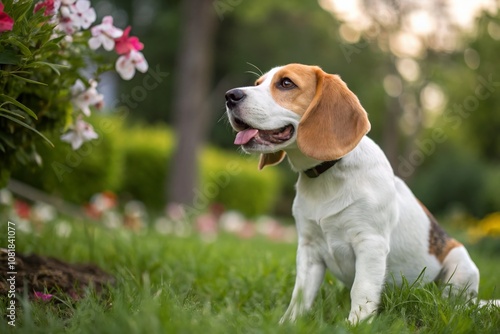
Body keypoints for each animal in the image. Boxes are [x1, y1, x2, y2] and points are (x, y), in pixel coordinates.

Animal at [226, 63, 496, 324]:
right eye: (258, 83)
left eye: (285, 83)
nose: (230, 96)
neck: (325, 175)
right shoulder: (309, 249)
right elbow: (300, 294)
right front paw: (289, 323)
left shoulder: (370, 243)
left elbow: (362, 289)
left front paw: (356, 323)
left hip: (460, 263)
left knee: (456, 304)